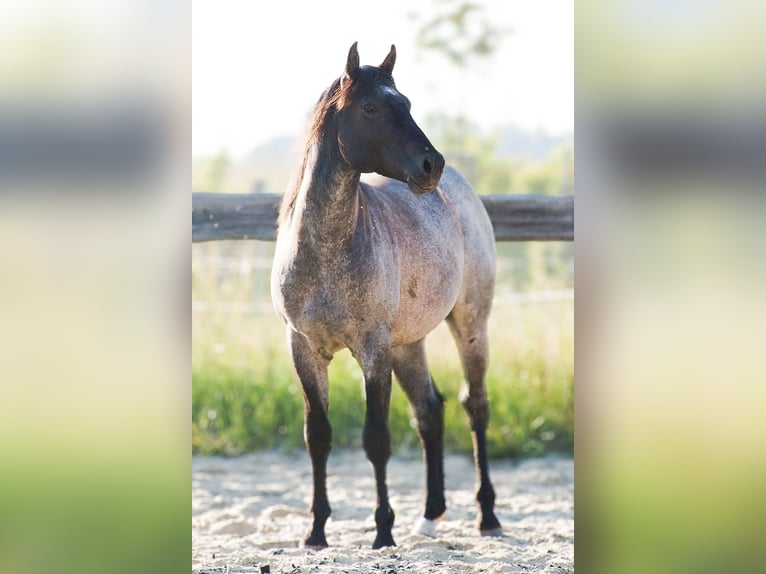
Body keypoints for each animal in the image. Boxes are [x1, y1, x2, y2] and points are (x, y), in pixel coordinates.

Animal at [272, 42, 504, 552]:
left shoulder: (372, 351)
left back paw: (488, 516)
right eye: (370, 108)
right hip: (408, 344)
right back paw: (430, 516)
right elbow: (317, 435)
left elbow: (376, 438)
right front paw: (316, 532)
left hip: (470, 325)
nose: (430, 165)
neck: (327, 251)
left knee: (474, 407)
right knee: (429, 411)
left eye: (408, 104)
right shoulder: (304, 349)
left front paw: (382, 531)